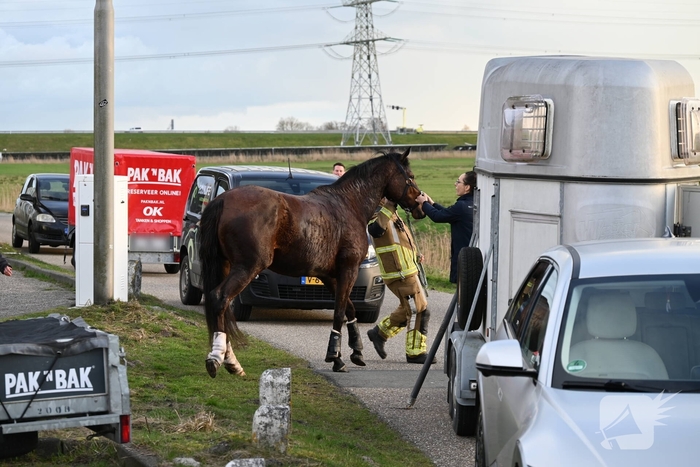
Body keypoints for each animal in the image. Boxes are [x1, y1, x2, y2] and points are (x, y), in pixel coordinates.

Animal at [199, 147, 424, 376]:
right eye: (411, 176)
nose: (420, 206)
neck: (349, 204)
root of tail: (223, 200)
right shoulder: (348, 269)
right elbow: (339, 312)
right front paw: (335, 356)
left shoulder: (329, 276)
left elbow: (349, 309)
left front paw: (356, 351)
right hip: (247, 267)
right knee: (220, 298)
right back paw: (219, 358)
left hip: (226, 265)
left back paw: (230, 359)